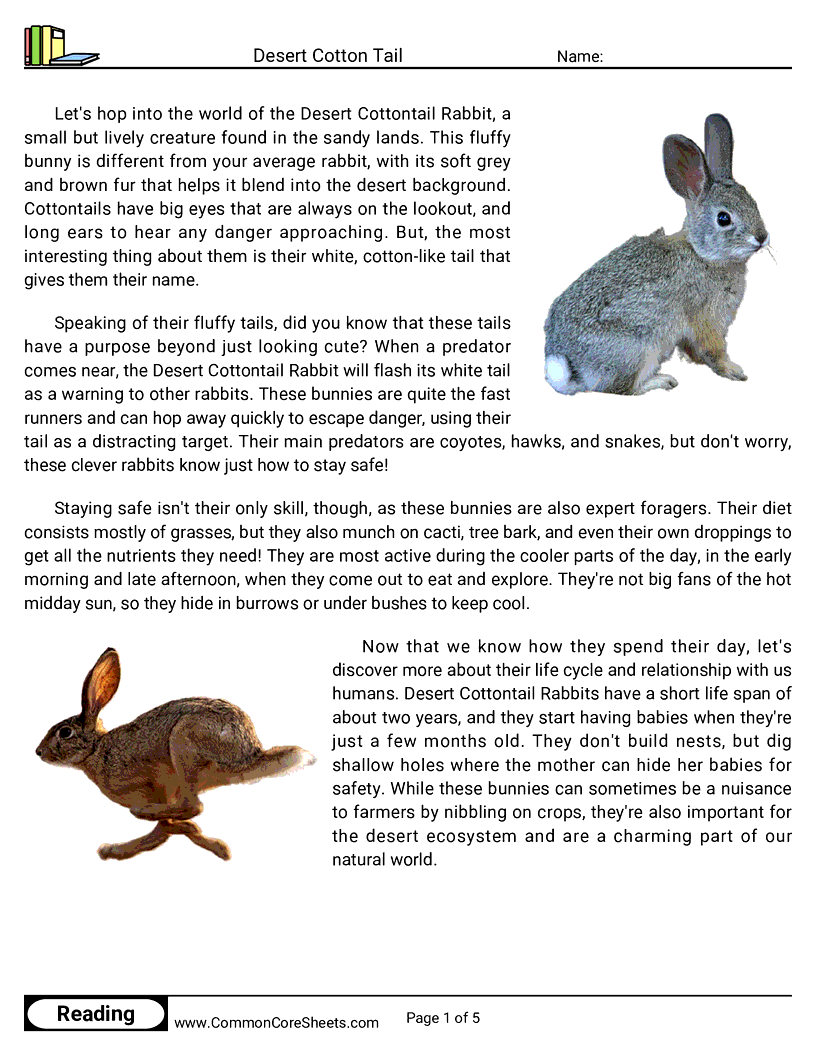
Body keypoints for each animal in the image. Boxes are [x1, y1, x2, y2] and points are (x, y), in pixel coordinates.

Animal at [35, 648, 315, 861]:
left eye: (65, 732)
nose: (38, 752)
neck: (96, 750)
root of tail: (249, 753)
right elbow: (164, 830)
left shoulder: (155, 786)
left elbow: (162, 828)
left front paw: (112, 850)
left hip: (184, 743)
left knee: (192, 805)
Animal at [544, 114, 769, 395]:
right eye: (723, 218)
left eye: (754, 204)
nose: (762, 237)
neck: (703, 254)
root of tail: (572, 372)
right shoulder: (706, 318)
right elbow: (714, 349)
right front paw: (733, 371)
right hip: (640, 348)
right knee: (622, 388)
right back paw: (661, 381)